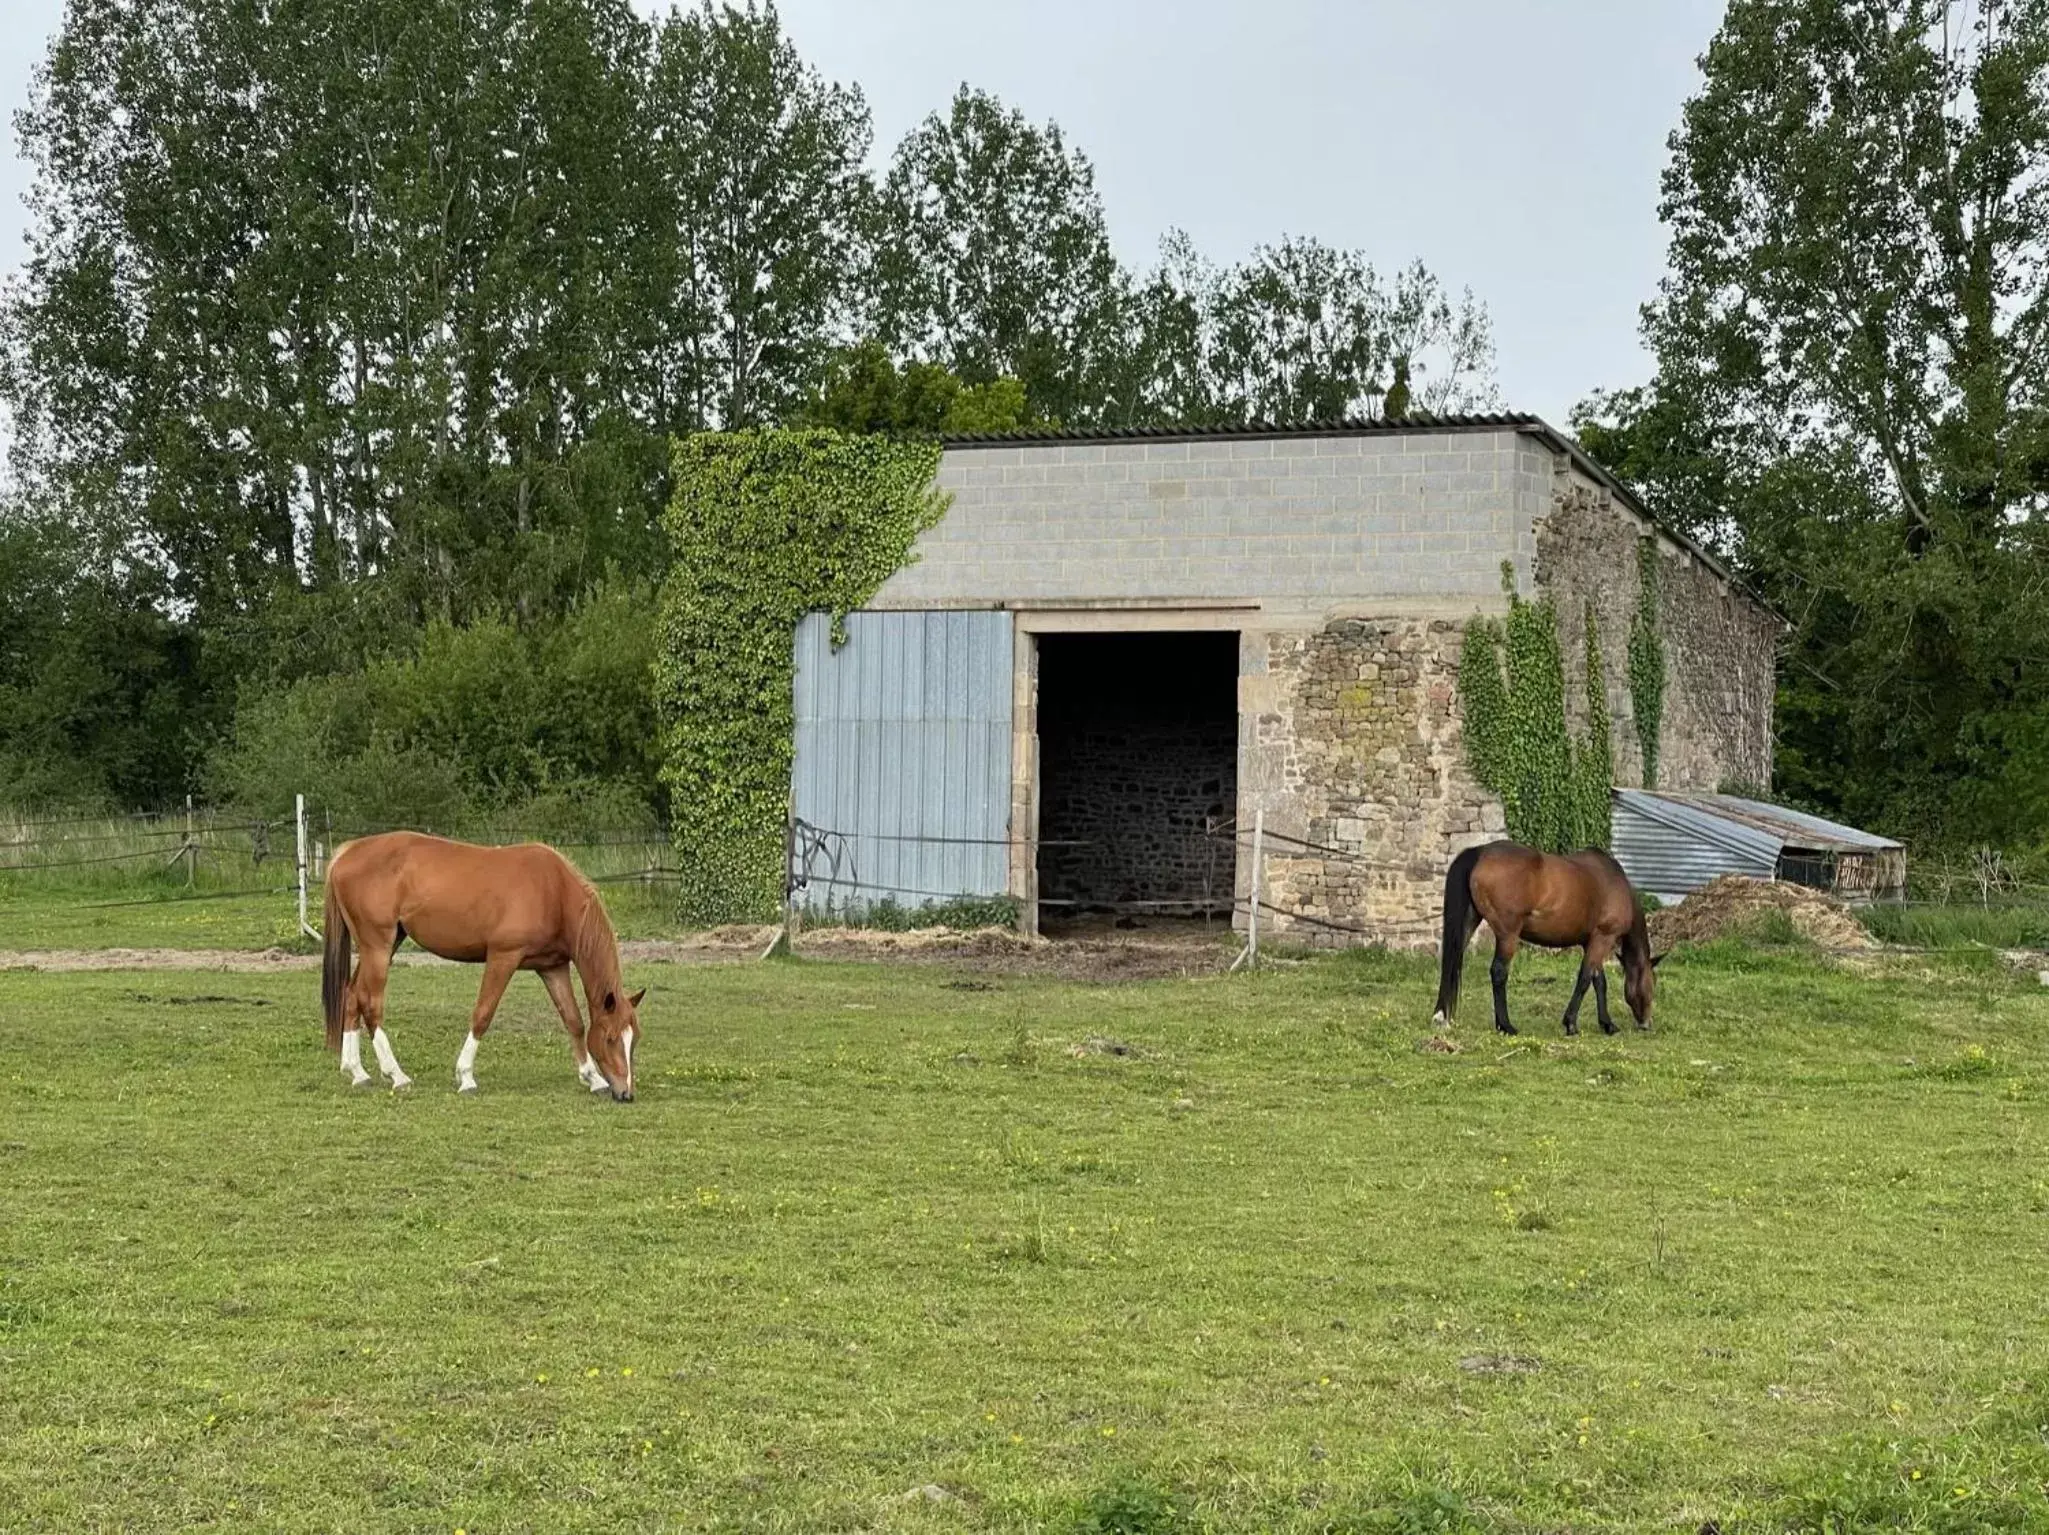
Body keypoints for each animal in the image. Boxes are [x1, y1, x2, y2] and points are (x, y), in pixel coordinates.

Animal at [319, 832, 643, 1098]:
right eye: (611, 1038)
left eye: (635, 1039)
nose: (625, 1093)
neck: (554, 890)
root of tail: (347, 852)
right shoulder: (503, 957)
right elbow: (483, 1015)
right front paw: (466, 1077)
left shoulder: (553, 967)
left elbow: (573, 1020)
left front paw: (592, 1078)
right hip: (378, 947)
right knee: (370, 1003)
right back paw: (396, 1075)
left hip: (384, 946)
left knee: (351, 996)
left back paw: (357, 1072)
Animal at [1426, 840, 1663, 1041]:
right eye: (1652, 983)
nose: (1646, 1023)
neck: (1614, 883)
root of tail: (1482, 851)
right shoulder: (1603, 938)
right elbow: (1585, 979)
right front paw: (1571, 1024)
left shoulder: (1592, 941)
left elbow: (1598, 981)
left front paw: (1607, 1024)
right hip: (1508, 935)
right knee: (1498, 972)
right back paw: (1506, 1025)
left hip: (1469, 922)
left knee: (1452, 961)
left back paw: (1441, 1016)